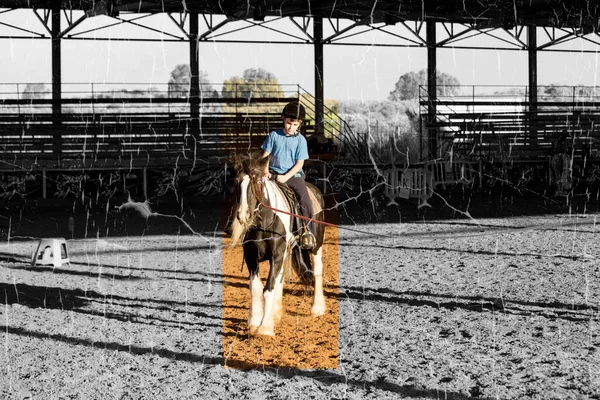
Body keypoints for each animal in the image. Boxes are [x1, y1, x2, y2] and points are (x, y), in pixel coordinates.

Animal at [230, 155, 326, 336]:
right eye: (236, 182)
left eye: (257, 182)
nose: (244, 215)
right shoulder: (251, 256)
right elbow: (256, 288)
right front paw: (254, 322)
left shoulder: (277, 254)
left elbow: (268, 288)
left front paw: (265, 328)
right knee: (280, 277)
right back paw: (275, 312)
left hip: (315, 245)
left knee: (317, 270)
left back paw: (317, 307)